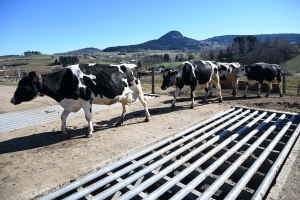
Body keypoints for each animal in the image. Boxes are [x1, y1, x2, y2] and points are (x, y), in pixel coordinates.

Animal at [10, 63, 151, 138]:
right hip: (122, 95)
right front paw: (65, 131)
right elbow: (62, 117)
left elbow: (88, 117)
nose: (12, 100)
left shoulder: (86, 100)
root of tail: (132, 65)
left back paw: (147, 118)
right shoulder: (70, 103)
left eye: (23, 85)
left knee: (144, 102)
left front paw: (89, 132)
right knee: (125, 107)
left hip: (137, 89)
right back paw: (119, 122)